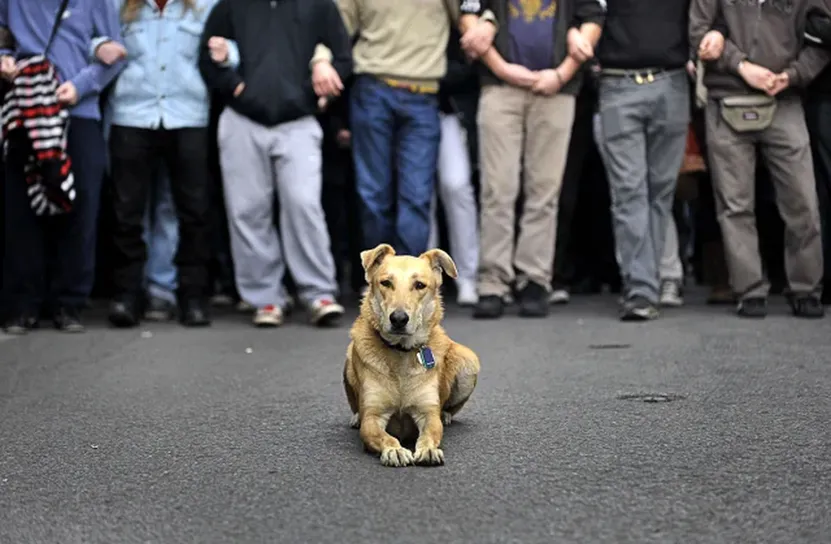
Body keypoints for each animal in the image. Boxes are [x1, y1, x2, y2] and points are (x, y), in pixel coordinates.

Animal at [342, 244, 480, 466]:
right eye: (386, 282)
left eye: (420, 285)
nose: (398, 318)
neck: (401, 352)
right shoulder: (373, 417)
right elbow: (383, 436)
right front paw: (395, 450)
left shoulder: (427, 413)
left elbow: (430, 433)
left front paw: (429, 449)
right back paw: (355, 417)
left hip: (469, 360)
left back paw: (446, 415)